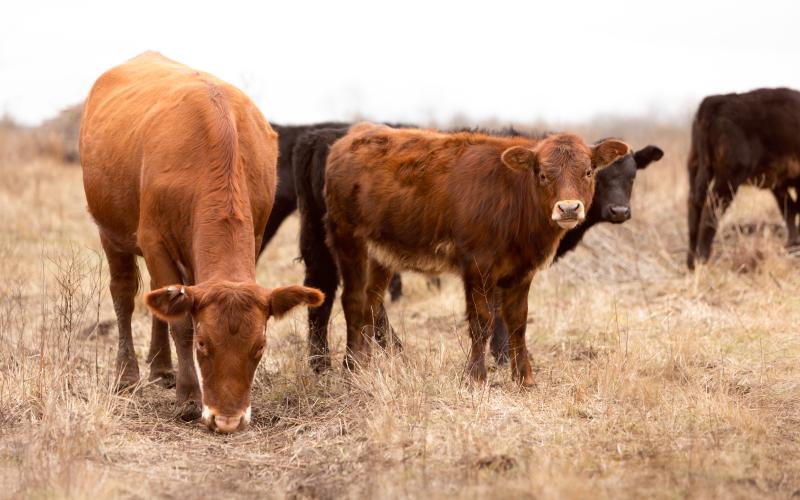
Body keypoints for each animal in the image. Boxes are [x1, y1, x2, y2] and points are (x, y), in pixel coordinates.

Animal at [79, 52, 323, 433]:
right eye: (204, 344)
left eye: (260, 346)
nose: (228, 420)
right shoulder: (154, 241)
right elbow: (181, 323)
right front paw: (189, 398)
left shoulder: (253, 235)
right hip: (111, 232)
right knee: (125, 294)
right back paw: (128, 376)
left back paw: (162, 367)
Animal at [293, 124, 659, 370]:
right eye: (603, 175)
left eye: (631, 175)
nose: (619, 211)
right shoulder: (483, 264)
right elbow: (487, 315)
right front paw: (495, 361)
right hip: (339, 242)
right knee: (339, 294)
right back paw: (340, 364)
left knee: (356, 299)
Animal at [687, 87, 800, 269]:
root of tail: (713, 102)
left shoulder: (779, 185)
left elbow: (789, 210)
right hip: (728, 180)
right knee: (710, 211)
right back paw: (702, 260)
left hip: (695, 167)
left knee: (694, 208)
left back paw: (690, 262)